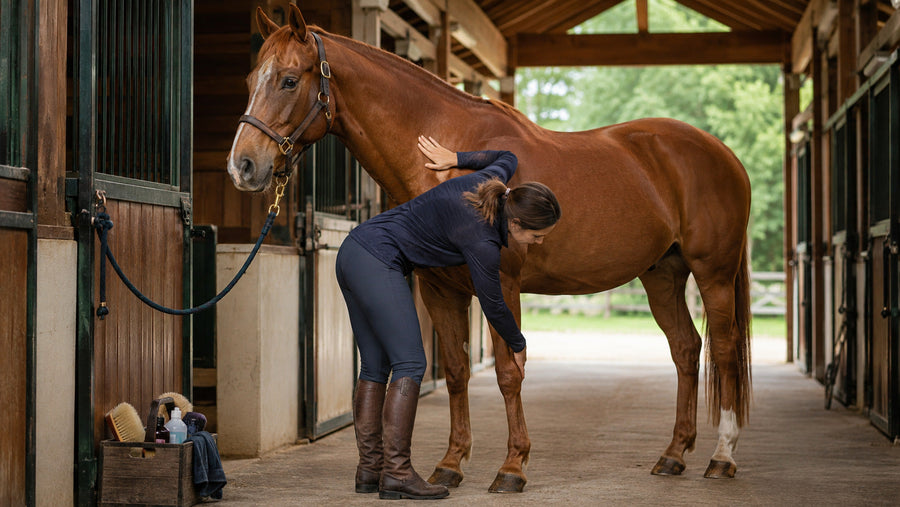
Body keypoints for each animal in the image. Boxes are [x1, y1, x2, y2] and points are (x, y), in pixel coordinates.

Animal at [227, 5, 752, 492]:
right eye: (252, 78)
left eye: (289, 80)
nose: (243, 166)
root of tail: (724, 154)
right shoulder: (441, 290)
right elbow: (459, 372)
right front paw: (449, 464)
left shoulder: (502, 281)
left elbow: (507, 371)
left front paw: (512, 467)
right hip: (662, 274)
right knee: (686, 349)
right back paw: (674, 455)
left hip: (713, 273)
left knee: (724, 351)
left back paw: (722, 457)